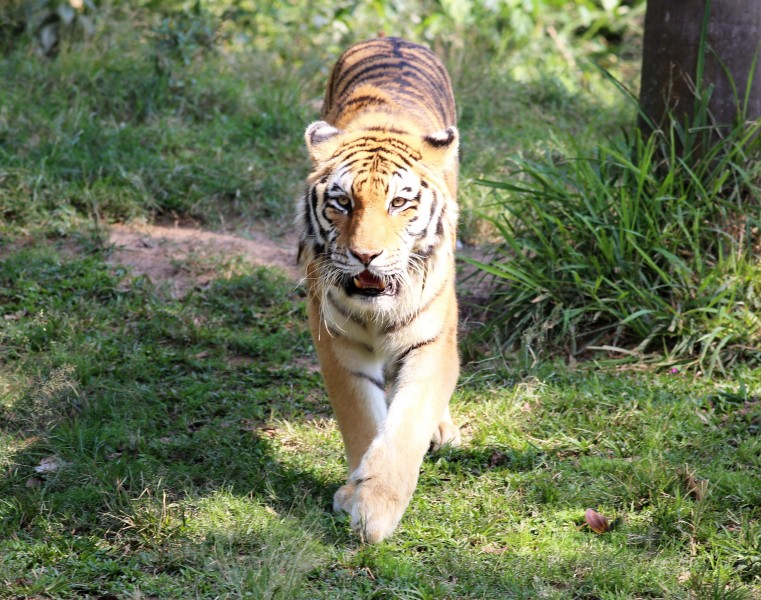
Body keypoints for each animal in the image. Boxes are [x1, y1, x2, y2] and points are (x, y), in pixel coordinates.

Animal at [296, 37, 464, 544]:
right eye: (342, 202)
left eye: (399, 202)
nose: (366, 255)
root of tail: (393, 37)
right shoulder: (338, 343)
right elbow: (362, 419)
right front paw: (357, 496)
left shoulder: (431, 343)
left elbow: (406, 425)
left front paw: (376, 510)